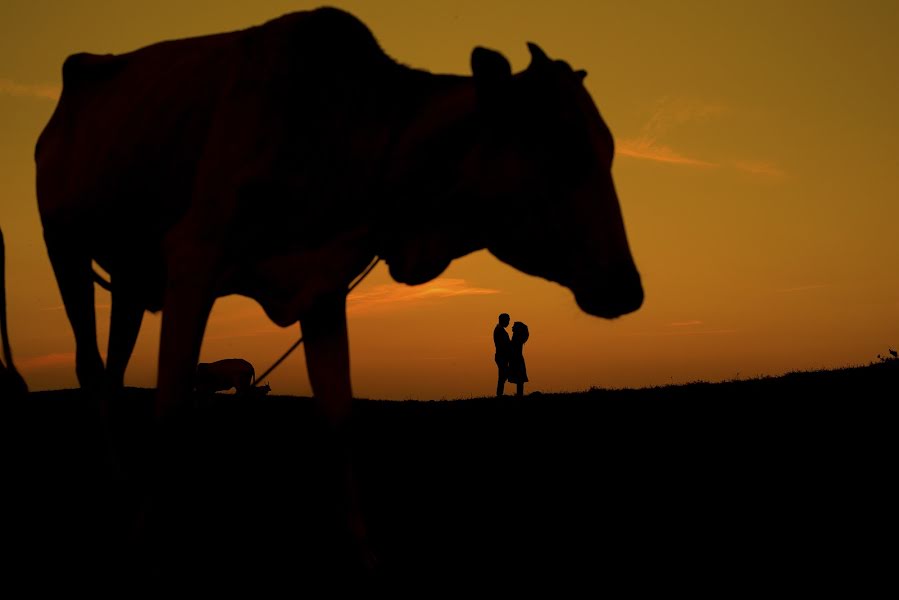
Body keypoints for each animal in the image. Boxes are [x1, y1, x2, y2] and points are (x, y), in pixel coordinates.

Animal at [33, 5, 640, 568]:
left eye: (609, 149)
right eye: (563, 148)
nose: (630, 289)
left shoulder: (322, 289)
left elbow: (340, 418)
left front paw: (365, 552)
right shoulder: (193, 262)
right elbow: (171, 410)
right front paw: (138, 540)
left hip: (130, 276)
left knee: (114, 368)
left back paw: (120, 482)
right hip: (64, 245)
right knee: (91, 367)